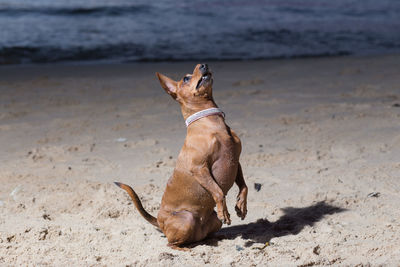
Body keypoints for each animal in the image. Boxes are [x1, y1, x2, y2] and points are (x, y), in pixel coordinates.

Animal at [114, 63, 247, 250]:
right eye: (185, 78)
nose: (203, 64)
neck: (212, 123)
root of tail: (159, 222)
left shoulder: (236, 162)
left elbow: (244, 186)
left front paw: (241, 205)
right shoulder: (199, 168)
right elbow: (219, 192)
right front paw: (225, 211)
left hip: (213, 222)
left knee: (201, 237)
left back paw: (214, 239)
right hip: (187, 219)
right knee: (171, 243)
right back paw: (185, 249)